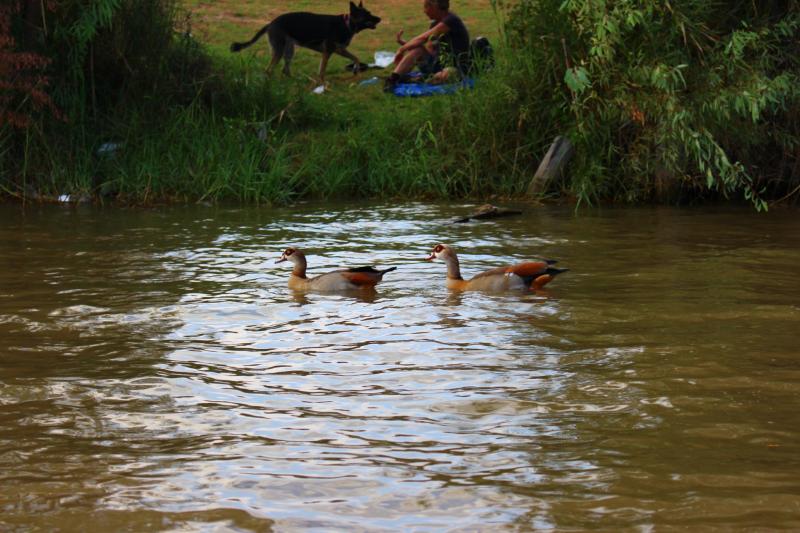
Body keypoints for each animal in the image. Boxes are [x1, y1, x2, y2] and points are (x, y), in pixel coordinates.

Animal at [231, 2, 382, 83]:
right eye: (367, 14)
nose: (380, 19)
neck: (347, 23)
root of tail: (270, 23)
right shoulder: (329, 52)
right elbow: (322, 70)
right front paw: (321, 83)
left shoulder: (339, 49)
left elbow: (356, 57)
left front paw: (356, 69)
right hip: (280, 50)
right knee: (269, 70)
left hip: (289, 50)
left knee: (285, 69)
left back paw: (294, 81)